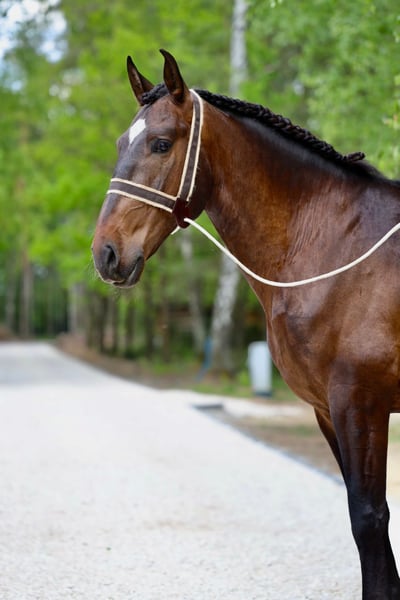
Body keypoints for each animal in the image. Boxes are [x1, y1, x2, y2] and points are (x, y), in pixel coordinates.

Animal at [92, 49, 400, 599]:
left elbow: (369, 521)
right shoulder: (328, 410)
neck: (336, 243)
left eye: (161, 143)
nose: (105, 253)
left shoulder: (360, 402)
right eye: (121, 143)